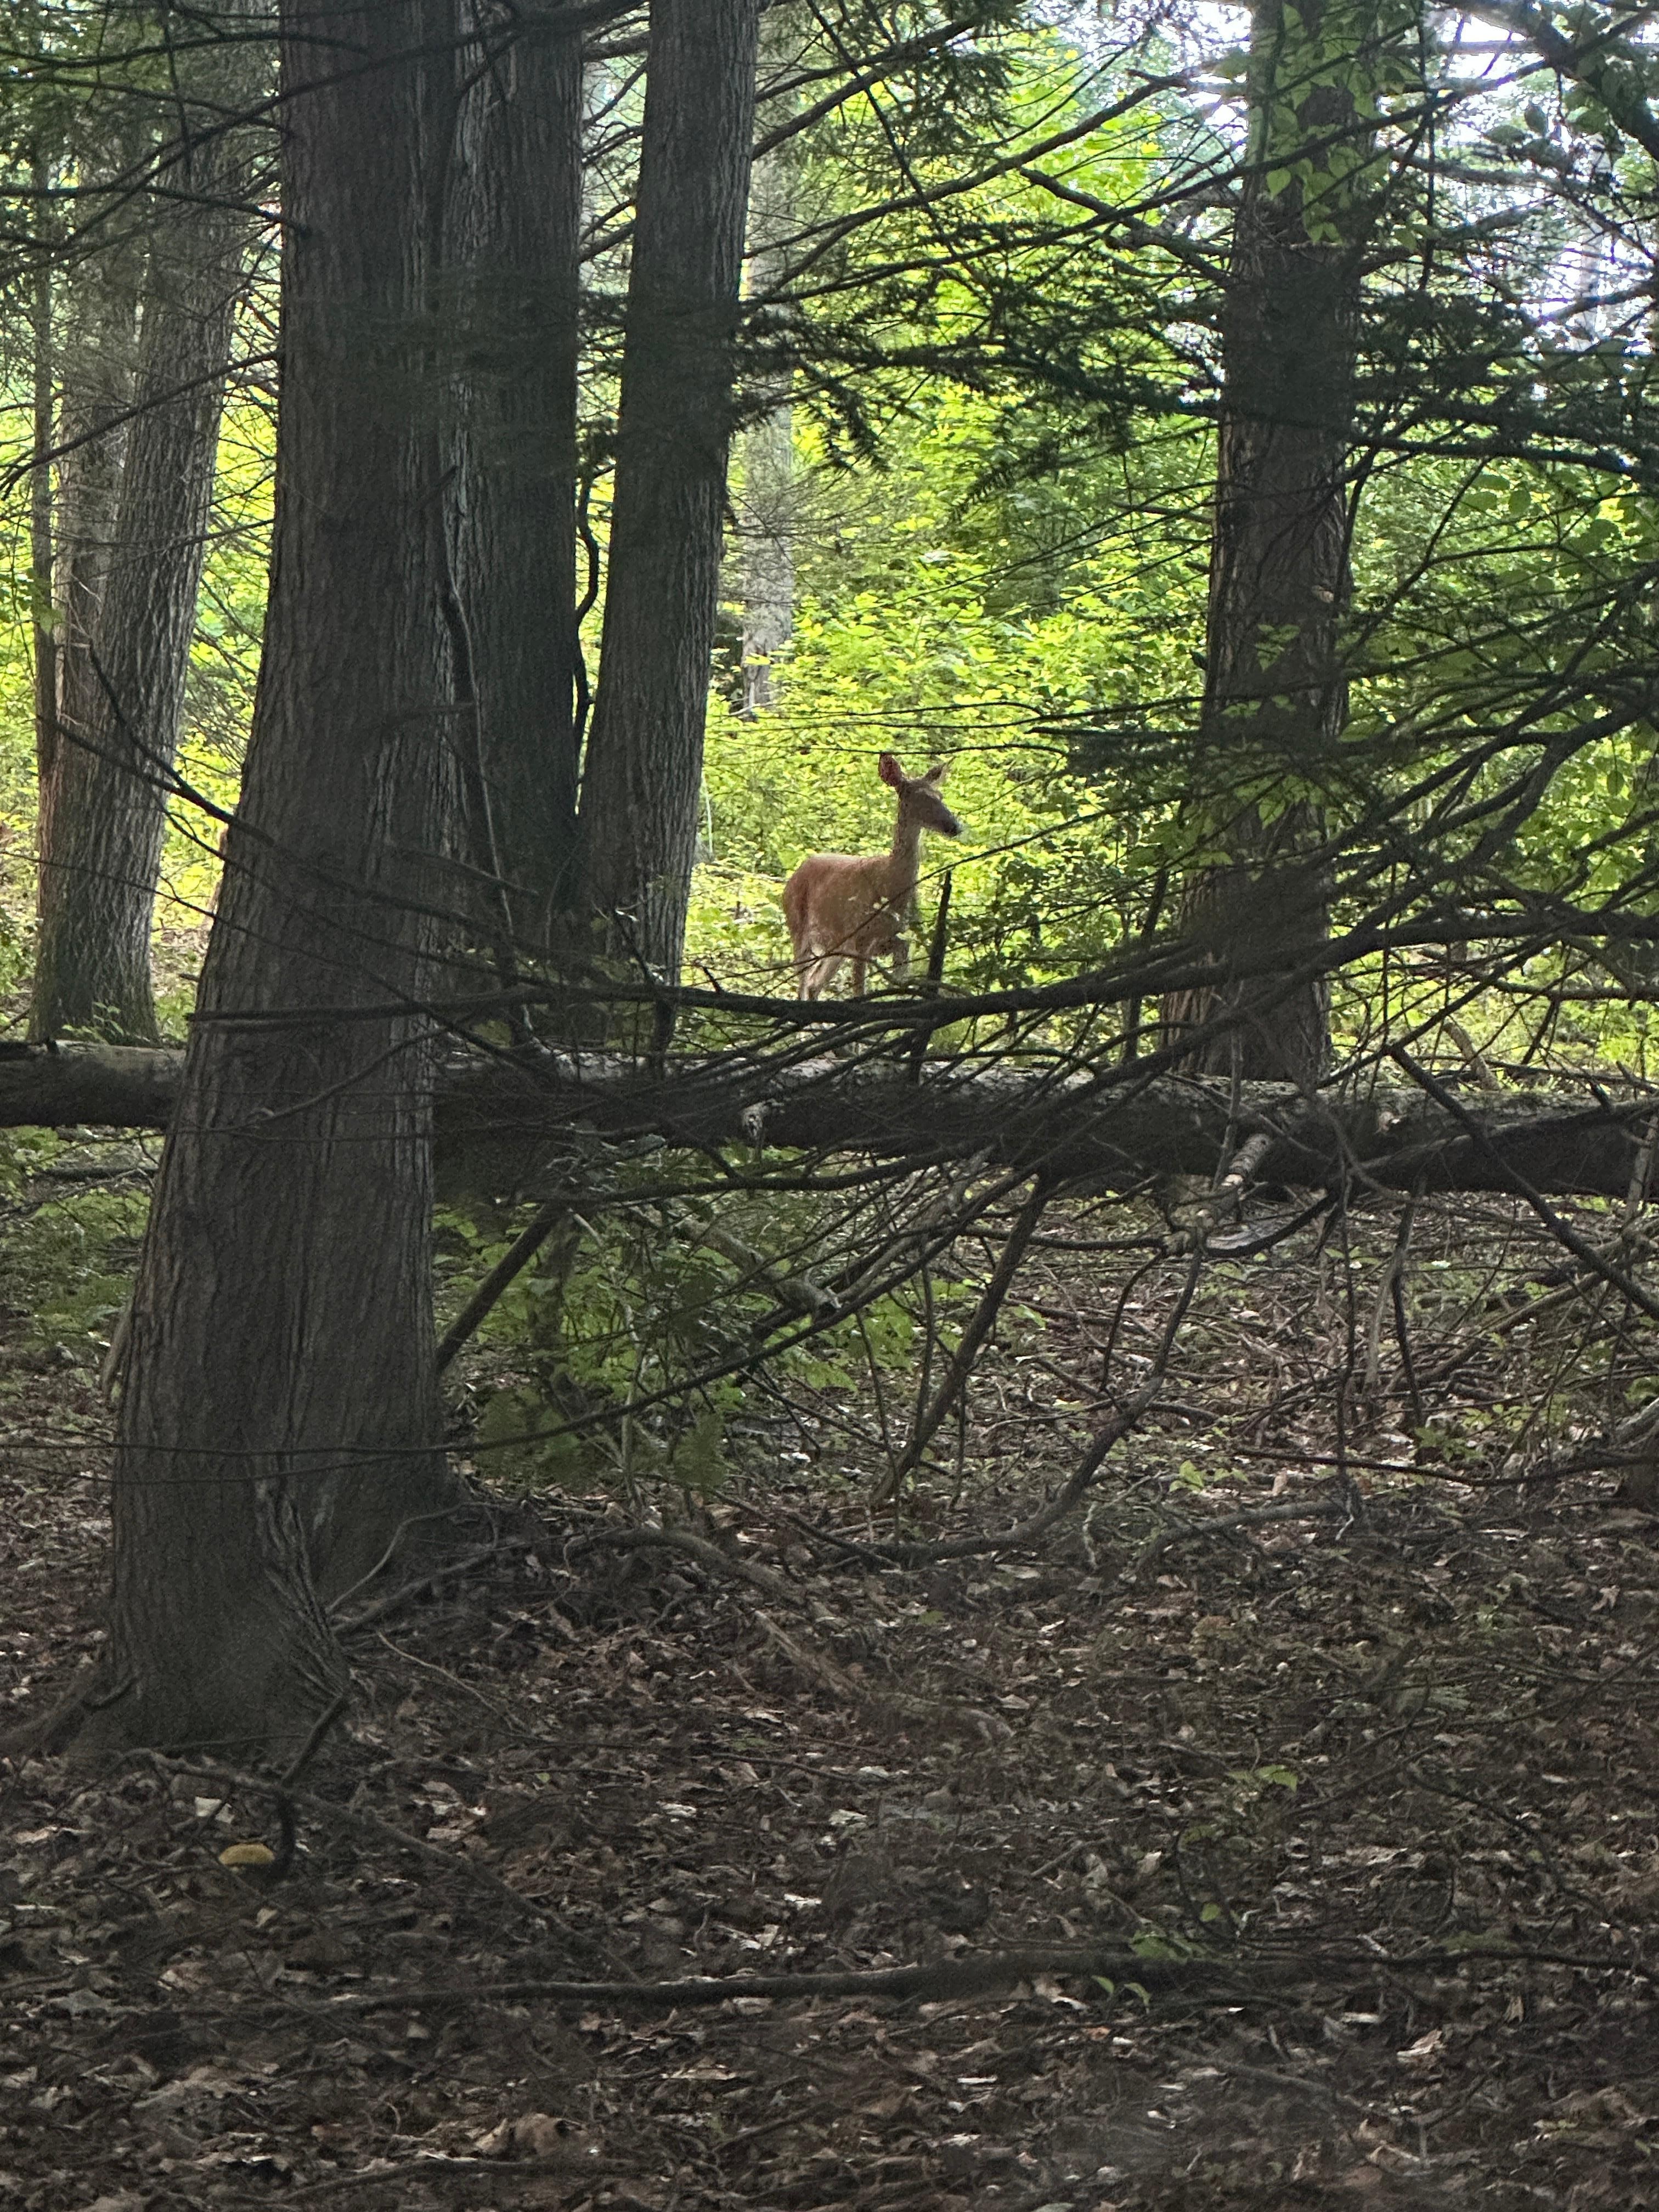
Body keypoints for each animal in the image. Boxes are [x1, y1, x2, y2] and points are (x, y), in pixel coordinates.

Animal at [783, 751, 961, 999]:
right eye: (918, 798)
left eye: (940, 796)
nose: (954, 826)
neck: (891, 886)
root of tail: (793, 877)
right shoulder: (860, 937)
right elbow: (859, 991)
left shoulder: (896, 938)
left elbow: (901, 979)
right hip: (798, 927)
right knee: (802, 981)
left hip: (836, 945)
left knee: (814, 983)